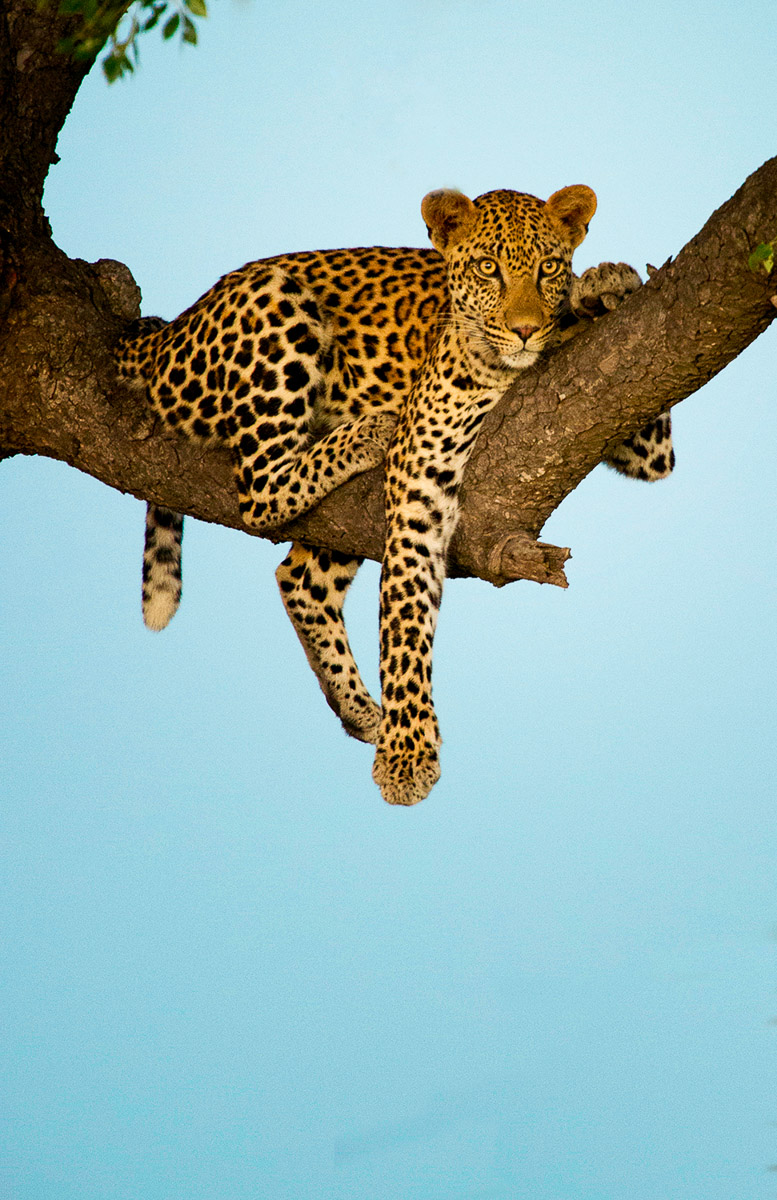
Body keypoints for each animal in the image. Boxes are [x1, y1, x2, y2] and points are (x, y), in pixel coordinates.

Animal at [115, 184, 674, 806]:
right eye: (489, 268)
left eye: (549, 267)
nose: (527, 329)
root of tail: (168, 329)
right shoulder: (419, 482)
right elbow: (404, 618)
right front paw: (407, 757)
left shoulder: (632, 421)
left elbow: (652, 431)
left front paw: (607, 286)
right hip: (277, 310)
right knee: (260, 488)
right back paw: (370, 432)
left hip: (342, 522)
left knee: (298, 577)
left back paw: (360, 710)